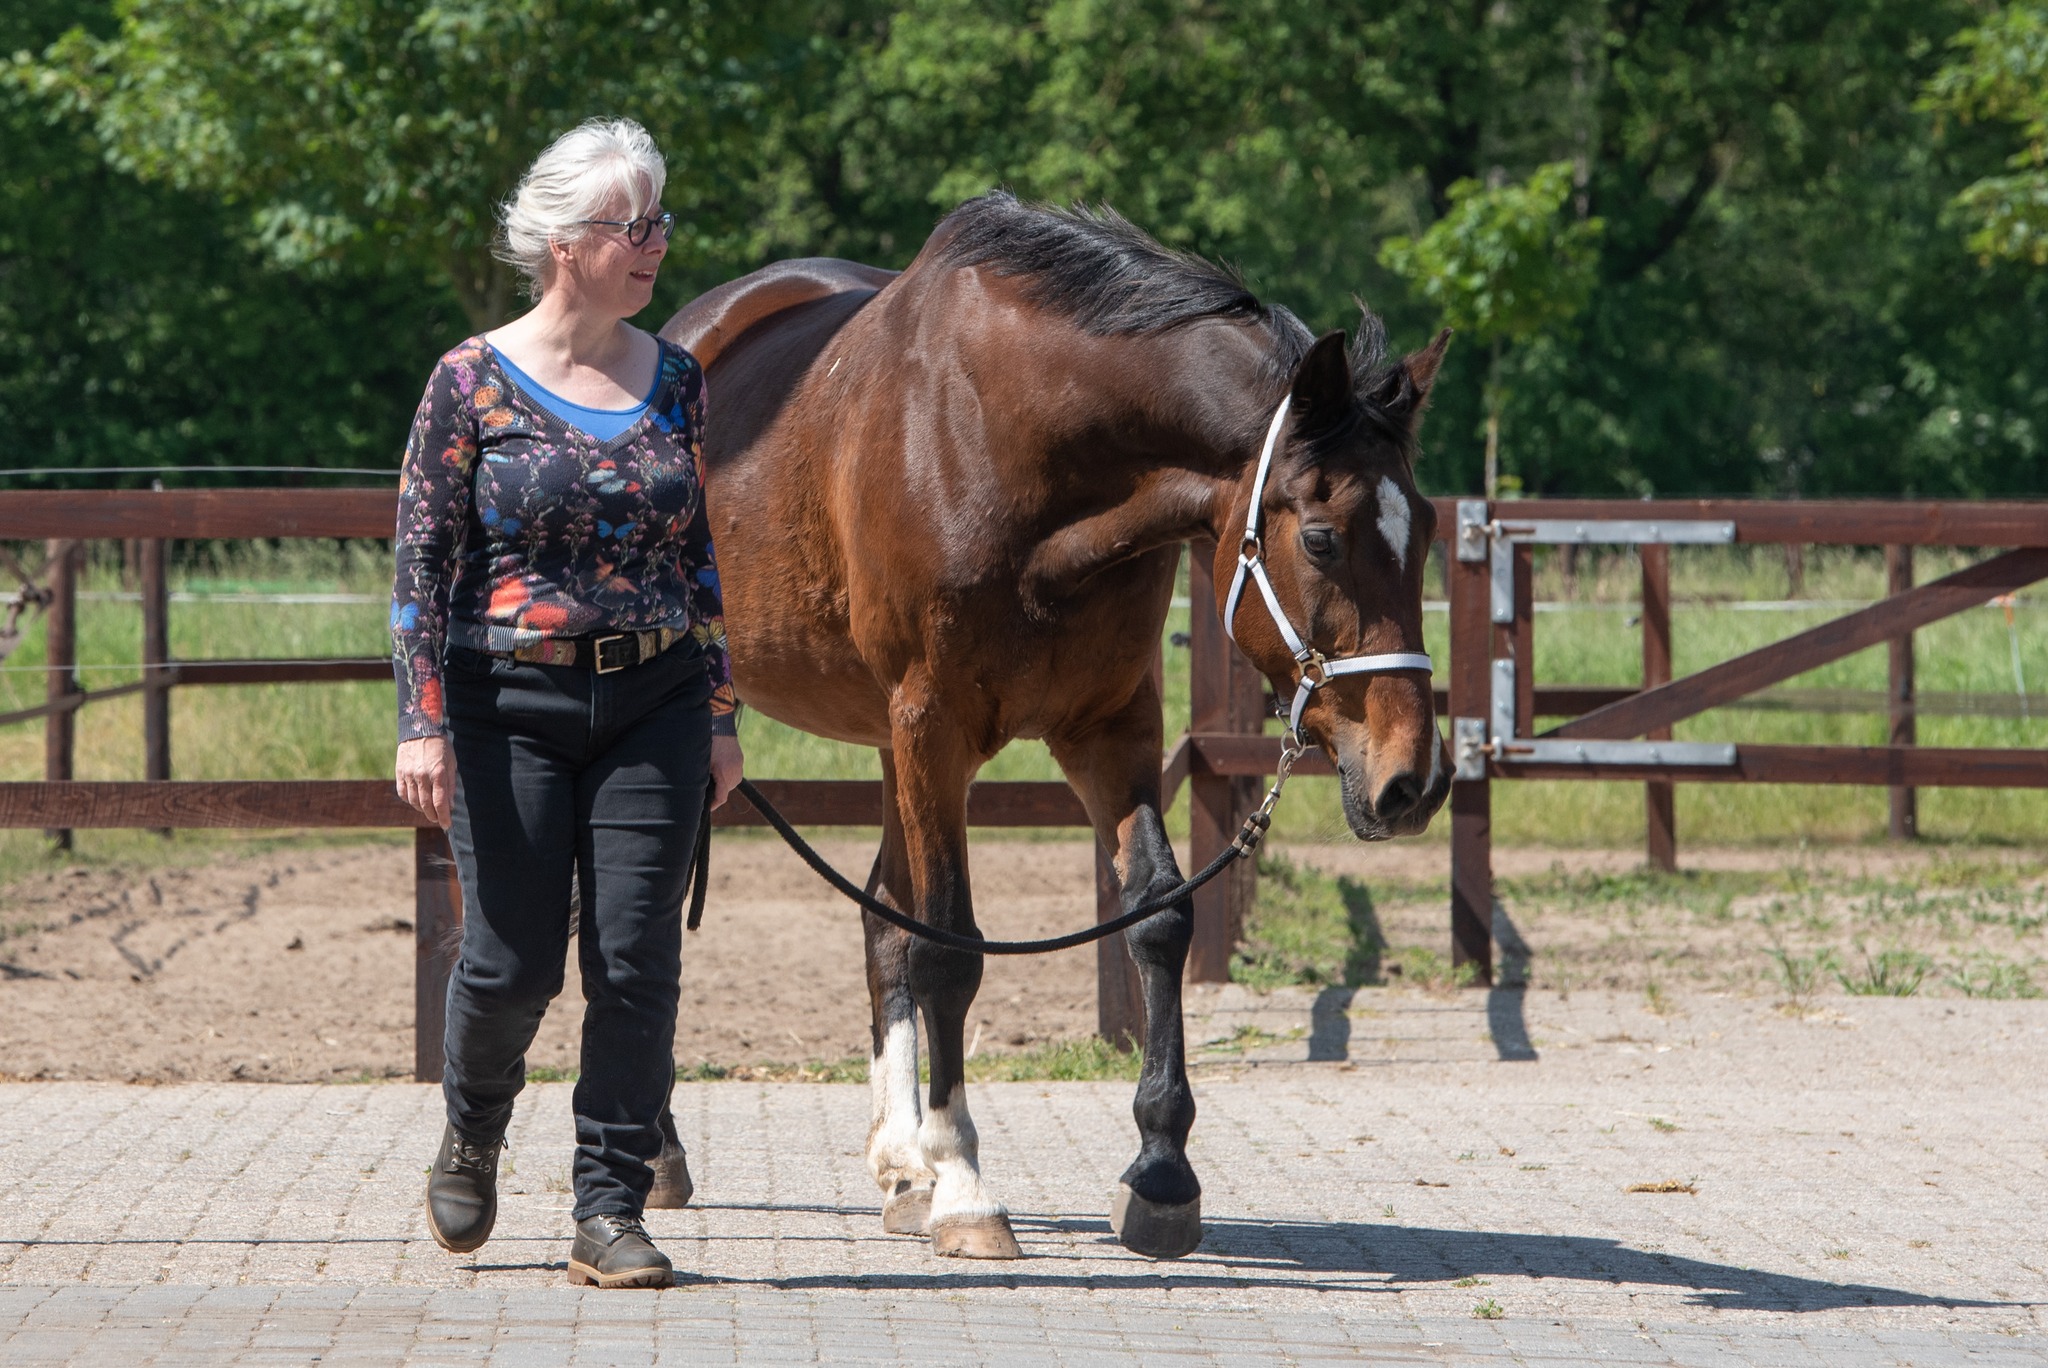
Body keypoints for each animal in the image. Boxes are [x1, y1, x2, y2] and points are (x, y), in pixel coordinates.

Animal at [658, 191, 1452, 1260]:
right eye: (1322, 538)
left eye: (1431, 530)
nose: (1412, 782)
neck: (1013, 445)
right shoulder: (935, 725)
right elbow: (950, 946)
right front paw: (964, 1186)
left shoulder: (1106, 729)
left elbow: (1156, 914)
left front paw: (1160, 1173)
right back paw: (674, 1155)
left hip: (888, 742)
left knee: (881, 914)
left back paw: (898, 1164)